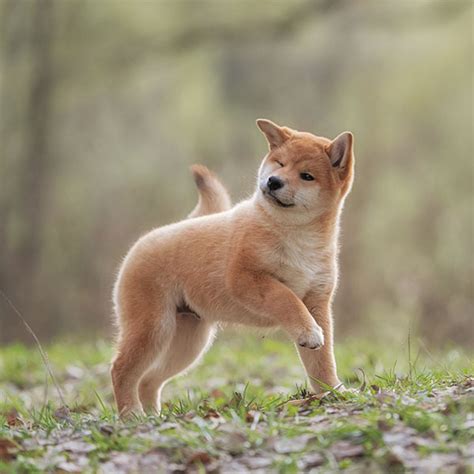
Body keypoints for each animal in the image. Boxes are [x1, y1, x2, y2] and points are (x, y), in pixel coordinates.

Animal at [112, 118, 356, 414]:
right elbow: (285, 298)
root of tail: (144, 240)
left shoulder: (317, 302)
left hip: (188, 342)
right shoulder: (245, 278)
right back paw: (131, 414)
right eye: (280, 163)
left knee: (149, 379)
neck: (296, 236)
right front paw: (308, 332)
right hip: (153, 328)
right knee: (121, 369)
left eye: (307, 176)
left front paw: (334, 392)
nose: (273, 181)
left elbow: (322, 361)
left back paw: (152, 415)